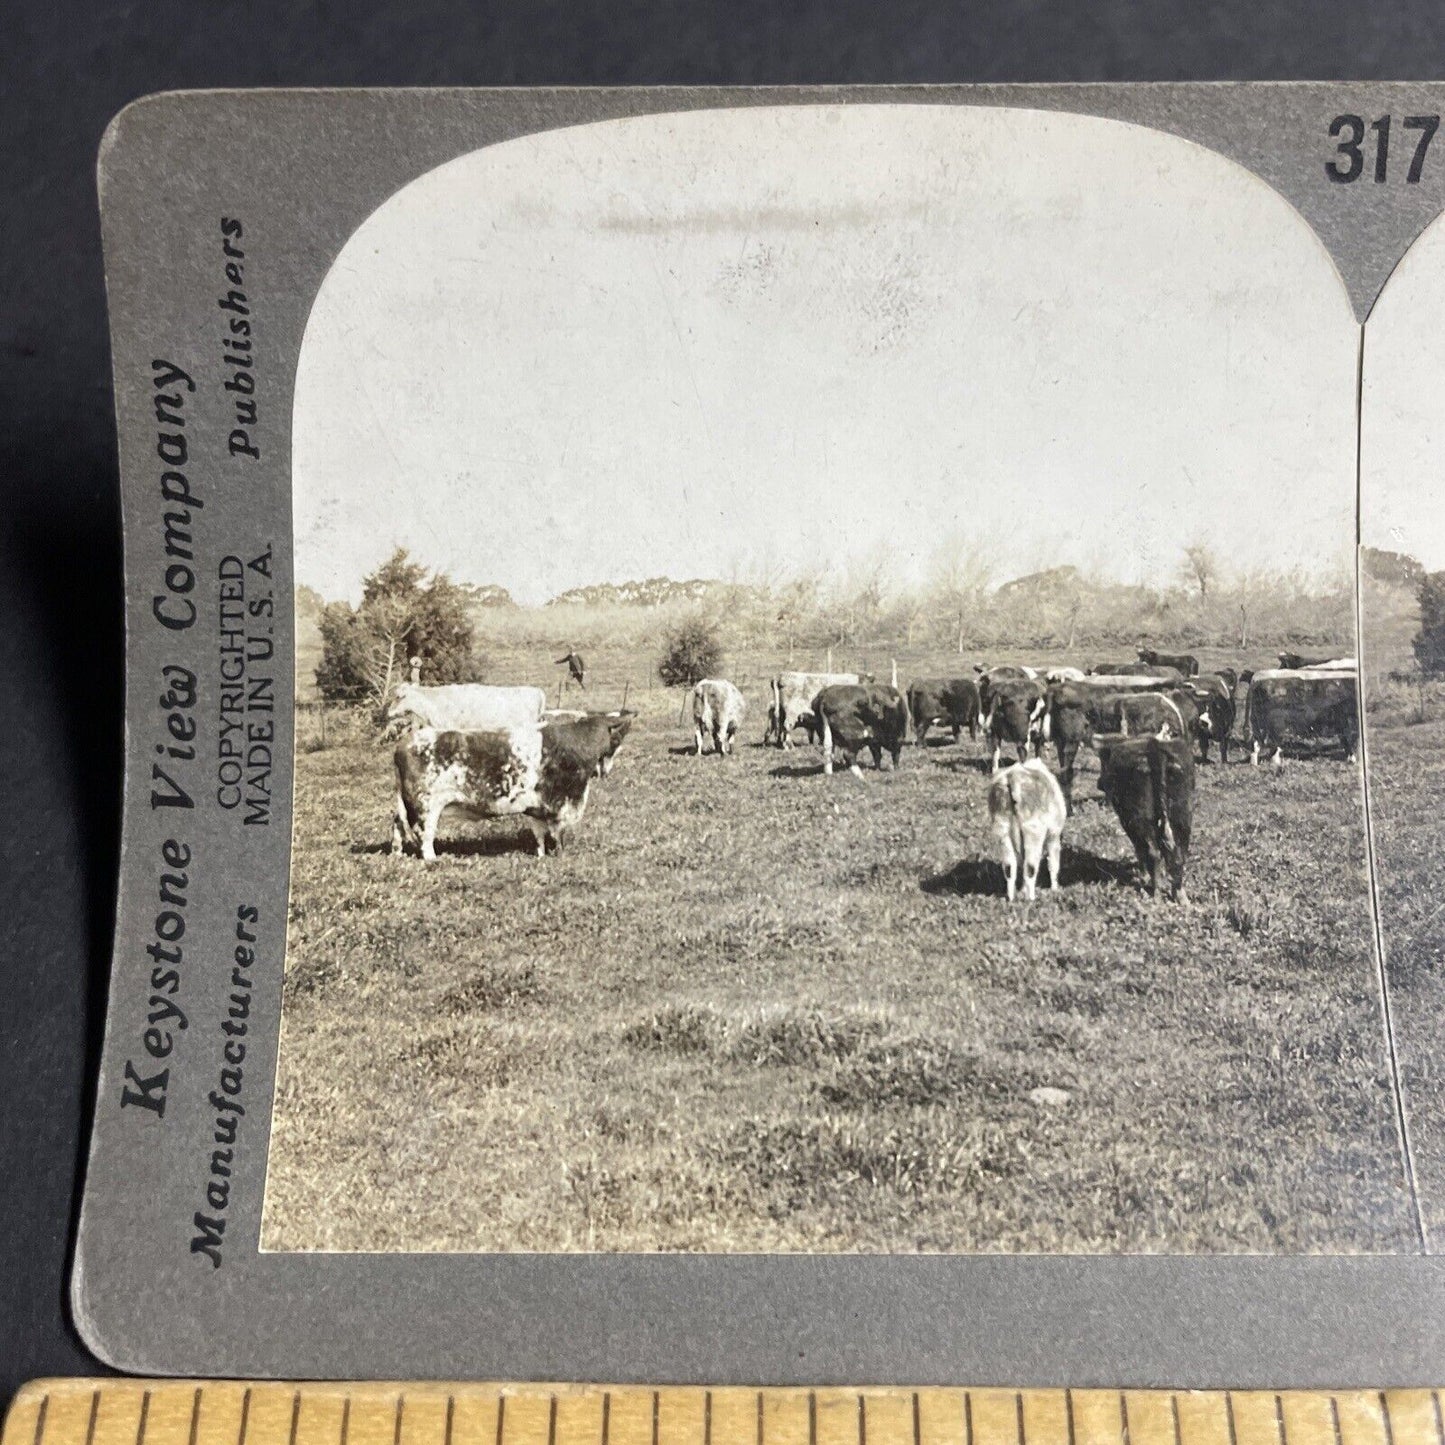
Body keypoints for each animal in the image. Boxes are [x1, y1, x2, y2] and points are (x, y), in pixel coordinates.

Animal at [390, 710, 632, 855]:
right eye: (615, 740)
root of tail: (405, 742)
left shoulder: (537, 808)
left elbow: (539, 834)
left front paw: (541, 856)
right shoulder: (560, 804)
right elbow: (557, 834)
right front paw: (559, 855)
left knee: (398, 826)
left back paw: (398, 853)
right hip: (426, 808)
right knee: (424, 836)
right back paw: (433, 859)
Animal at [988, 757, 1069, 901]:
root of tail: (1012, 777)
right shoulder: (1054, 835)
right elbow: (1053, 864)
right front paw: (1055, 889)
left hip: (1002, 829)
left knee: (1009, 868)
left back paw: (1012, 898)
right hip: (1033, 831)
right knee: (1030, 867)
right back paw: (1031, 899)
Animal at [1098, 734, 1190, 901]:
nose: (1099, 783)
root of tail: (1154, 746)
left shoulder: (1127, 821)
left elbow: (1139, 850)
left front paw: (1144, 876)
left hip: (1140, 820)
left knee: (1153, 852)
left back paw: (1155, 893)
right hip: (1183, 817)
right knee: (1179, 854)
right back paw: (1181, 897)